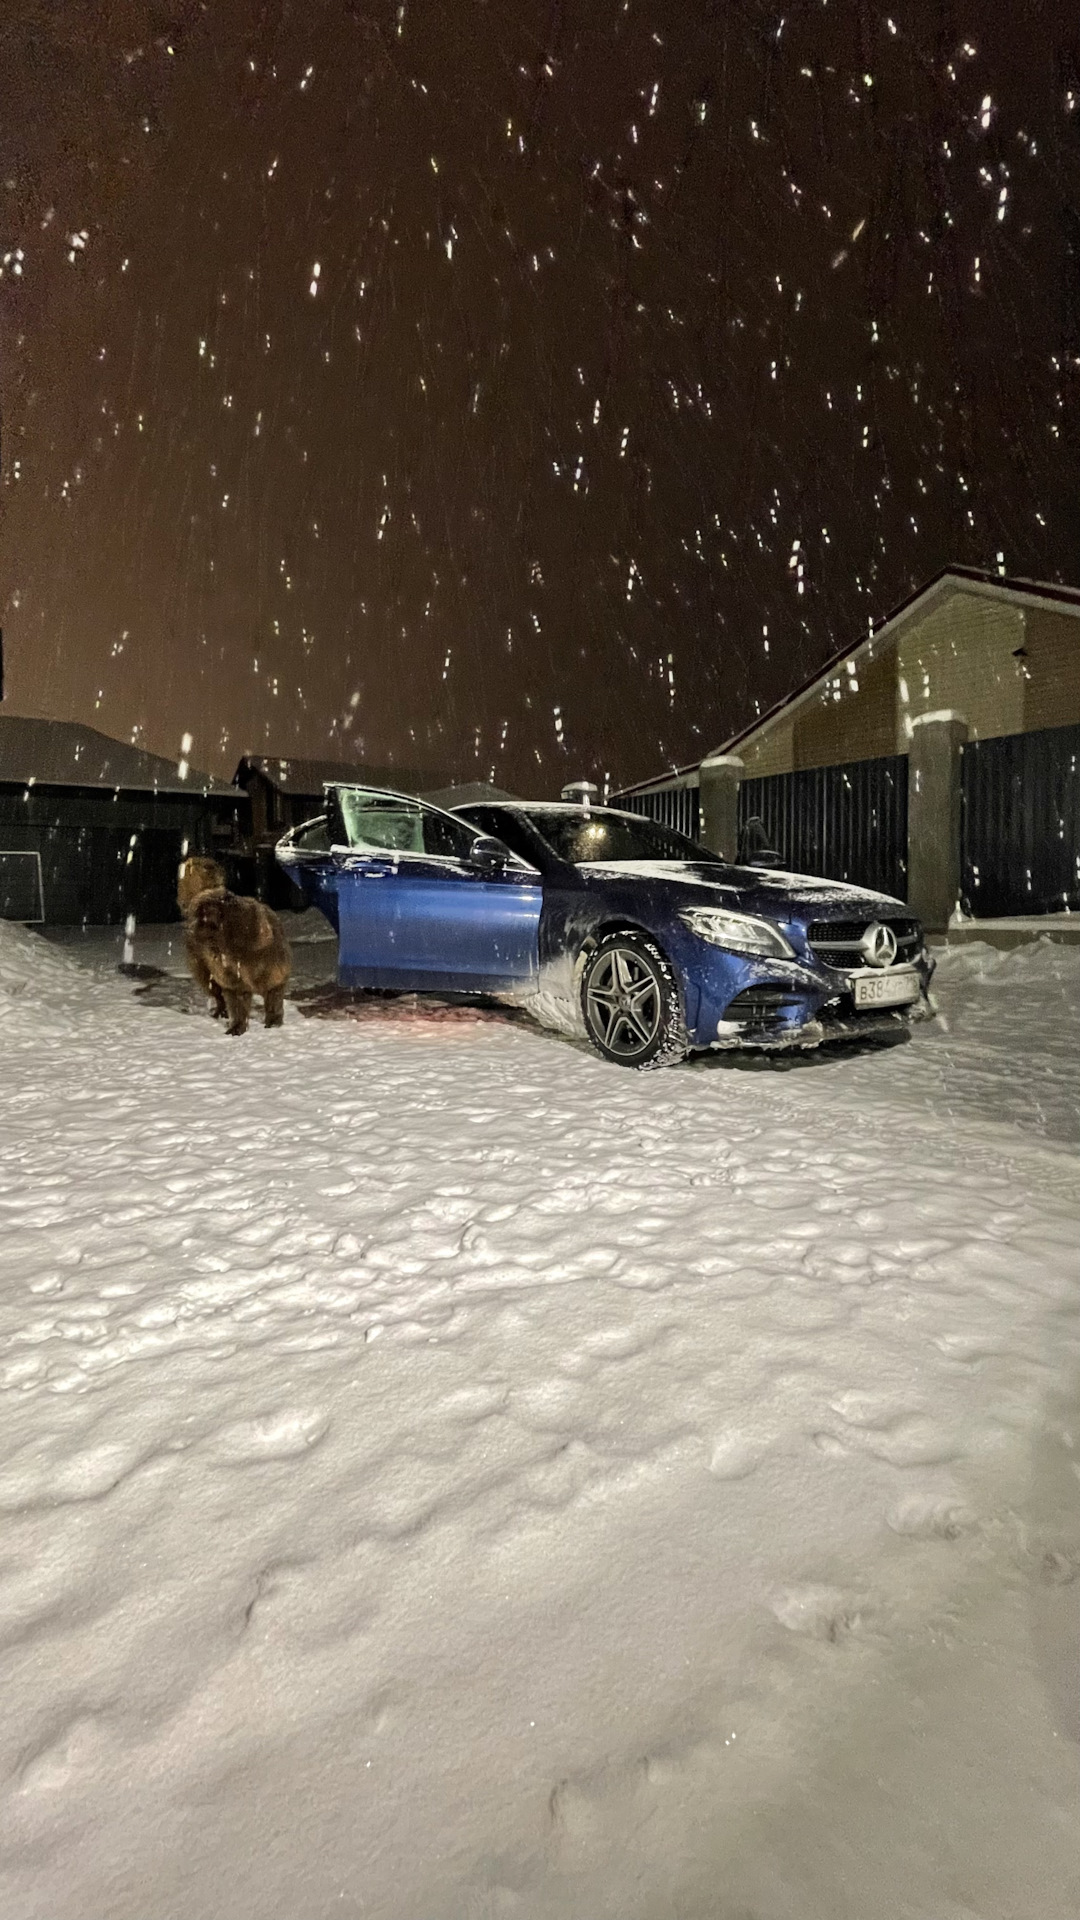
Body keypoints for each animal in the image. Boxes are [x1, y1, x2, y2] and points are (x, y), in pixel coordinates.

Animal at [183, 887, 290, 1036]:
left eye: (202, 917)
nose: (188, 929)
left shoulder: (271, 970)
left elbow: (273, 996)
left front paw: (273, 1023)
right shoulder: (231, 976)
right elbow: (237, 1002)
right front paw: (236, 1028)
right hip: (204, 968)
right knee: (216, 992)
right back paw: (221, 1012)